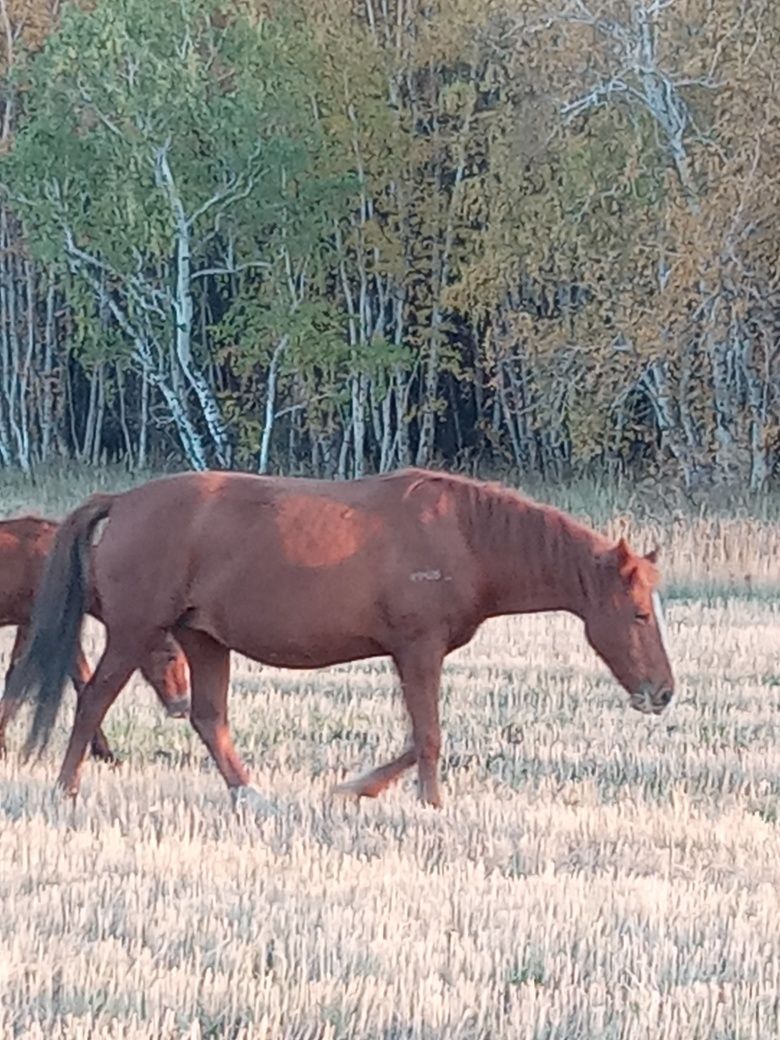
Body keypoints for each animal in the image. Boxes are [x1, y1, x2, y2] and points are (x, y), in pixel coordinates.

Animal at [0, 513, 191, 765]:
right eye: (171, 656)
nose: (183, 706)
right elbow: (83, 681)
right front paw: (104, 751)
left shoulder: (28, 626)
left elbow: (14, 678)